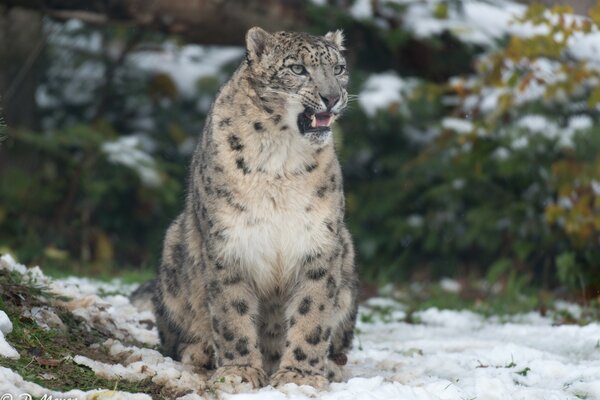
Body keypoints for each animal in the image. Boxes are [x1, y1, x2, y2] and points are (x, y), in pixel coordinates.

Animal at [152, 26, 358, 390]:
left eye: (338, 68)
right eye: (297, 69)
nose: (332, 97)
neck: (282, 160)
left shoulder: (319, 242)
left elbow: (313, 311)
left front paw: (300, 377)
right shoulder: (229, 242)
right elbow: (232, 312)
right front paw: (239, 372)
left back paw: (330, 368)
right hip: (174, 252)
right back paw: (199, 354)